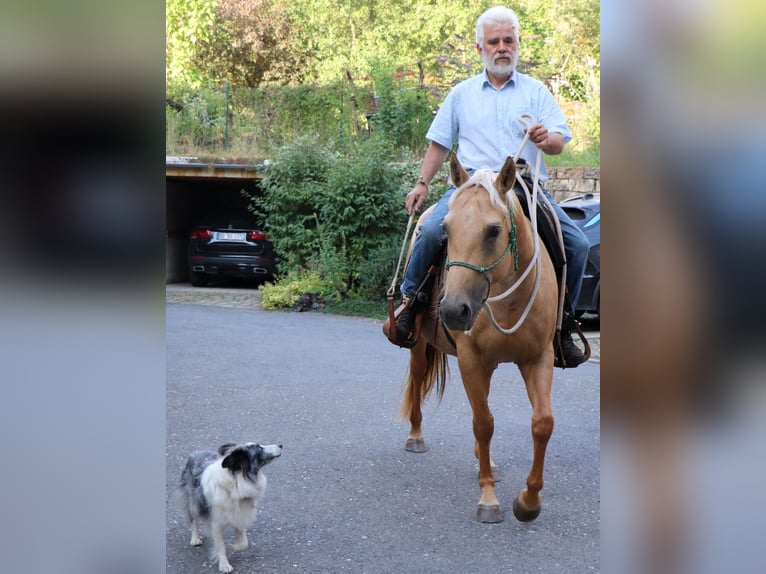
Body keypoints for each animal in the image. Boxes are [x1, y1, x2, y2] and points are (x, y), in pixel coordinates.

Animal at [178, 444, 284, 572]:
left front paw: (235, 547)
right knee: (193, 519)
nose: (280, 445)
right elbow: (221, 546)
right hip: (193, 502)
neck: (237, 482)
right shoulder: (216, 523)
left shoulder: (240, 513)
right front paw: (224, 565)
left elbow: (244, 542)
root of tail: (196, 452)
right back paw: (195, 539)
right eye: (259, 448)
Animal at [390, 155, 560, 524]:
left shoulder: (538, 357)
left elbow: (542, 423)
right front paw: (488, 499)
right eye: (447, 229)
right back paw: (416, 435)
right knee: (419, 378)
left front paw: (529, 501)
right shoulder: (470, 359)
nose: (454, 310)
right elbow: (483, 423)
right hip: (421, 345)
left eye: (493, 230)